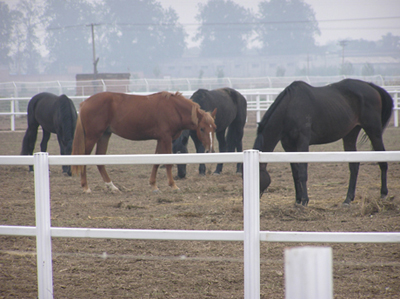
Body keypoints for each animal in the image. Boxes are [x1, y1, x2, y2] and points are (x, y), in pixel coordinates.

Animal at [71, 91, 216, 195]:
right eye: (202, 128)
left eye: (213, 128)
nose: (209, 150)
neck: (174, 108)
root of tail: (85, 103)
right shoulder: (166, 138)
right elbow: (168, 162)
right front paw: (173, 185)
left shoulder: (160, 139)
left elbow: (157, 161)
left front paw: (154, 185)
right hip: (92, 136)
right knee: (83, 158)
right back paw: (86, 187)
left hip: (104, 136)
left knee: (100, 161)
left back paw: (112, 186)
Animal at [253, 78, 394, 207]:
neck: (290, 108)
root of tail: (371, 86)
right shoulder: (288, 146)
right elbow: (295, 173)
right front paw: (297, 200)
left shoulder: (302, 143)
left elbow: (303, 172)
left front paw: (304, 201)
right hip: (350, 134)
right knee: (354, 166)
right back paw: (348, 199)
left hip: (374, 131)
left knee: (382, 161)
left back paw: (383, 194)